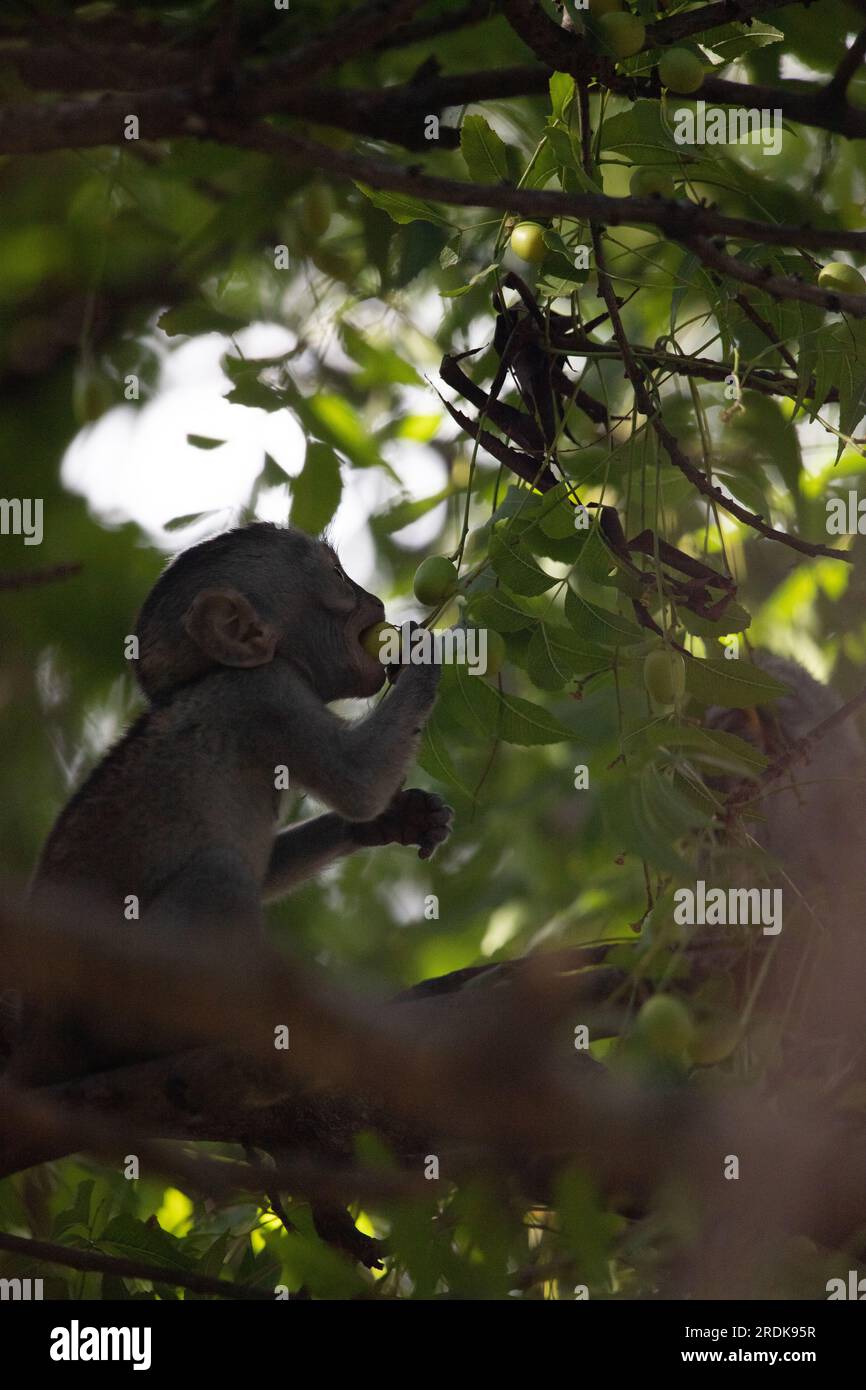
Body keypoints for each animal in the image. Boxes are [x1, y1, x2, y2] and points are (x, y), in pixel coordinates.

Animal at [11, 522, 452, 1087]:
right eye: (336, 576)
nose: (372, 599)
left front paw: (393, 821)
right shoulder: (266, 693)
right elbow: (356, 782)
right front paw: (422, 652)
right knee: (220, 875)